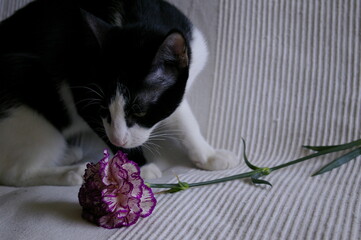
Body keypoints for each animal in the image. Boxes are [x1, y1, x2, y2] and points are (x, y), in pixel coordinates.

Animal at [0, 0, 239, 187]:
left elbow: (184, 120)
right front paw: (137, 167)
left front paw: (208, 155)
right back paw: (70, 172)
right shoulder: (81, 91)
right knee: (13, 173)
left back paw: (68, 155)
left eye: (140, 111)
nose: (120, 139)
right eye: (102, 109)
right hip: (26, 106)